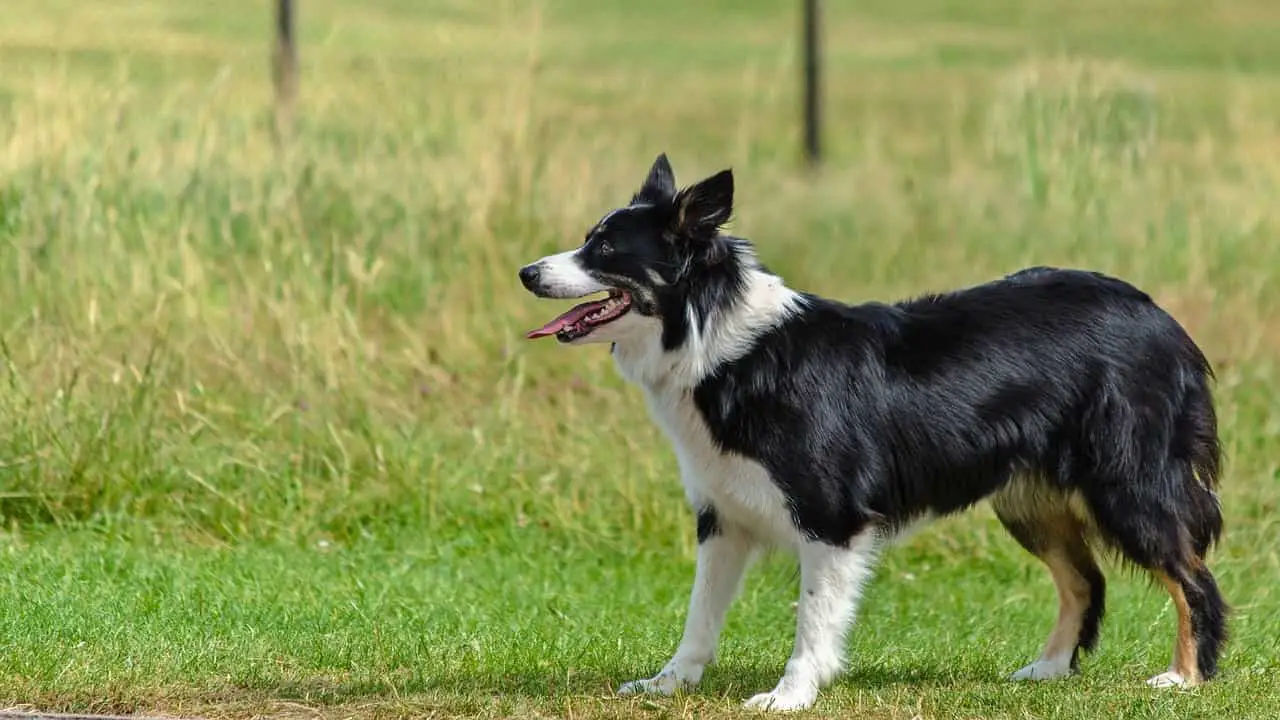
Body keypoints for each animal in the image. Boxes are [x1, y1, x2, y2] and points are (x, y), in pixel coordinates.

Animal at [514, 154, 1223, 707]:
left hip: (1127, 484)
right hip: (1028, 499)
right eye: (587, 240)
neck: (715, 340)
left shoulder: (830, 518)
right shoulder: (723, 514)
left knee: (1192, 578)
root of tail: (1159, 316)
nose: (526, 272)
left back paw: (1184, 677)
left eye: (605, 250)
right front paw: (670, 684)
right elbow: (700, 615)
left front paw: (790, 694)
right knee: (1085, 581)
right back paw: (1048, 670)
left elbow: (812, 618)